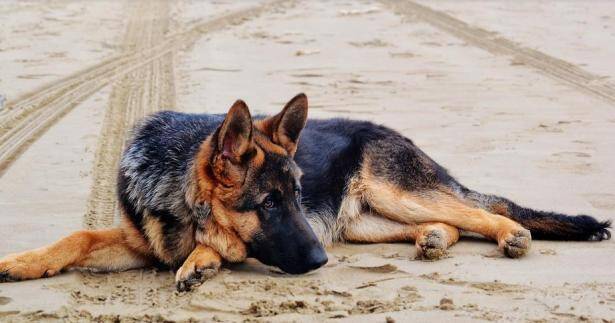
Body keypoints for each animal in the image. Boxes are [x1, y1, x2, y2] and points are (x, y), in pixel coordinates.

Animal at [0, 95, 612, 292]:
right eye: (270, 203)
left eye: (294, 197)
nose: (320, 261)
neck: (177, 191)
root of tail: (393, 132)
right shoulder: (137, 242)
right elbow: (77, 237)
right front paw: (25, 262)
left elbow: (216, 244)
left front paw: (201, 261)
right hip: (363, 223)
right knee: (453, 221)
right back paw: (435, 240)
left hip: (395, 192)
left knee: (482, 210)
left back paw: (513, 235)